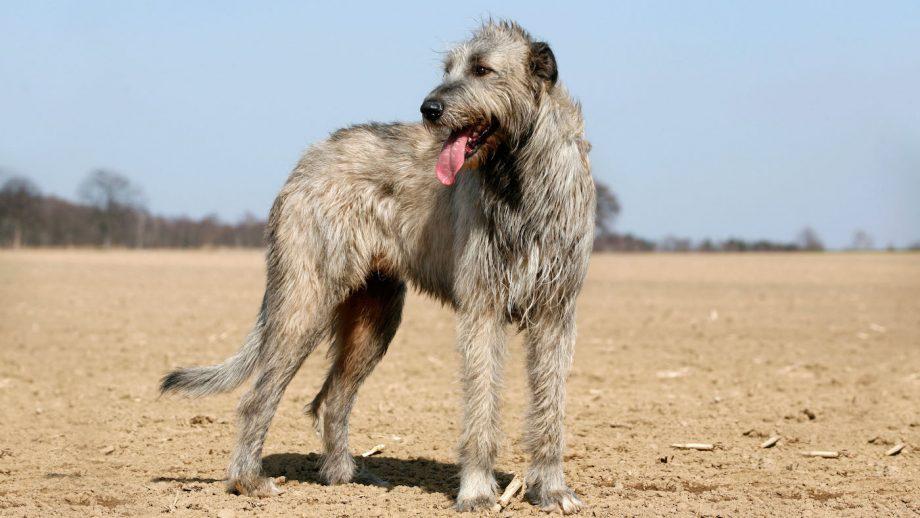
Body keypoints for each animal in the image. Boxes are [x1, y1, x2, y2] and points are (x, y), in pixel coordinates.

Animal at [164, 20, 596, 516]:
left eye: (482, 69)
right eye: (447, 69)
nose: (429, 109)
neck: (520, 177)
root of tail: (309, 158)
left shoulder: (556, 314)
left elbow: (552, 408)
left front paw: (553, 489)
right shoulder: (482, 310)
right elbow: (481, 405)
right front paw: (477, 492)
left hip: (376, 316)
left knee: (332, 399)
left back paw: (344, 476)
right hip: (305, 301)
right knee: (257, 397)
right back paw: (248, 481)